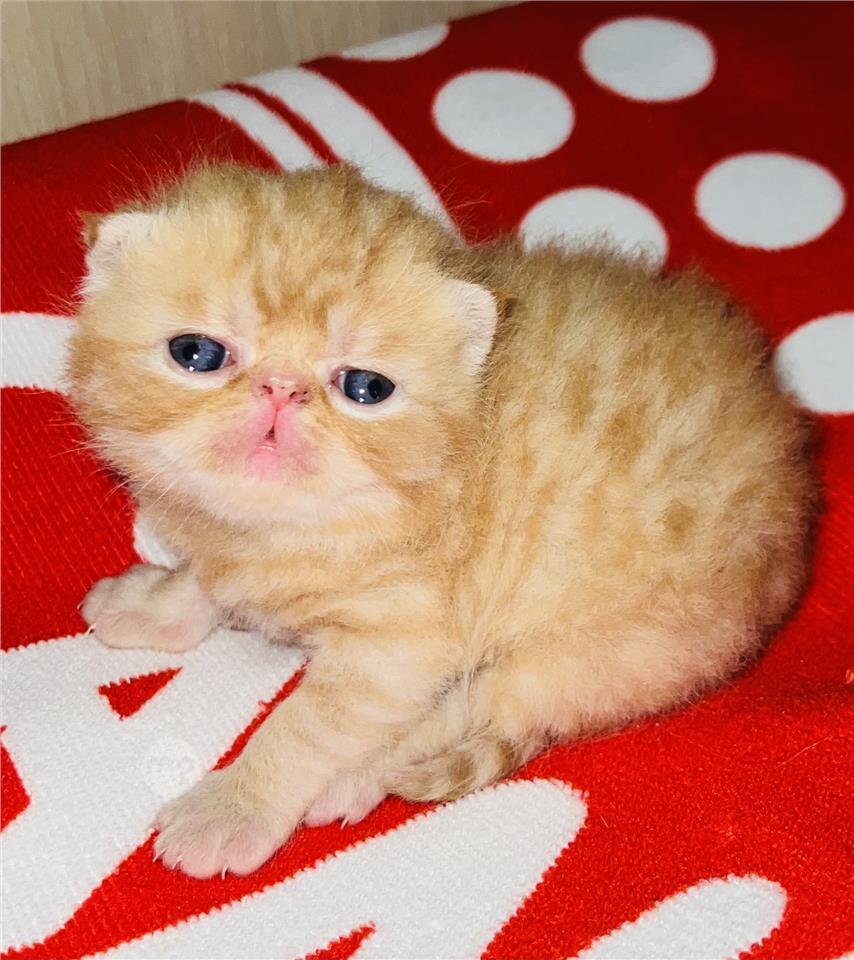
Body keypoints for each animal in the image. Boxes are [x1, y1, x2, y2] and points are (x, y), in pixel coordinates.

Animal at [69, 163, 816, 878]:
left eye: (365, 388)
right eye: (196, 354)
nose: (281, 389)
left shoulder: (401, 642)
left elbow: (307, 728)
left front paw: (233, 808)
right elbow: (207, 581)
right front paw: (157, 603)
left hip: (605, 644)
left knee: (482, 703)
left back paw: (359, 779)